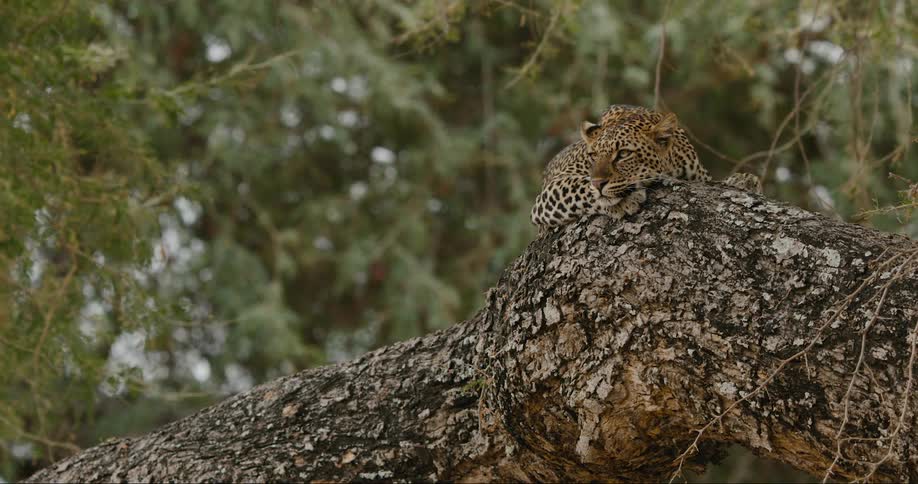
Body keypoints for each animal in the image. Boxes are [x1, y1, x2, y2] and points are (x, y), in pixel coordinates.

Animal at [531, 104, 760, 232]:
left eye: (623, 154)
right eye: (593, 155)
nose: (598, 183)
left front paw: (744, 181)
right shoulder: (549, 192)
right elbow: (579, 185)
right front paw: (624, 201)